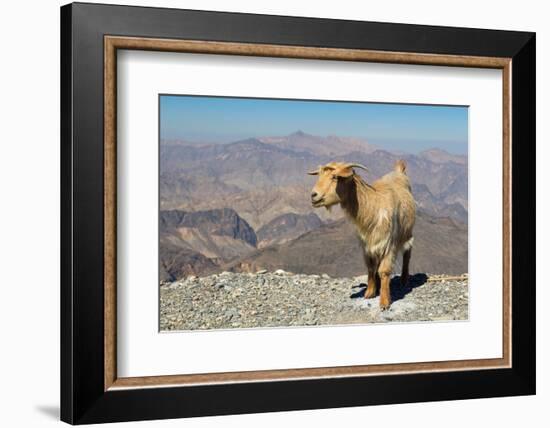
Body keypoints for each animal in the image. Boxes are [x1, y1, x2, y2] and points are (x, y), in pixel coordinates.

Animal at [308, 160, 416, 308]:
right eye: (319, 175)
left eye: (335, 177)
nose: (313, 195)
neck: (373, 206)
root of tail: (399, 171)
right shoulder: (366, 244)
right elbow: (371, 267)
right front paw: (370, 292)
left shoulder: (389, 243)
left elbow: (384, 270)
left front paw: (384, 302)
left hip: (408, 233)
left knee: (407, 254)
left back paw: (404, 280)